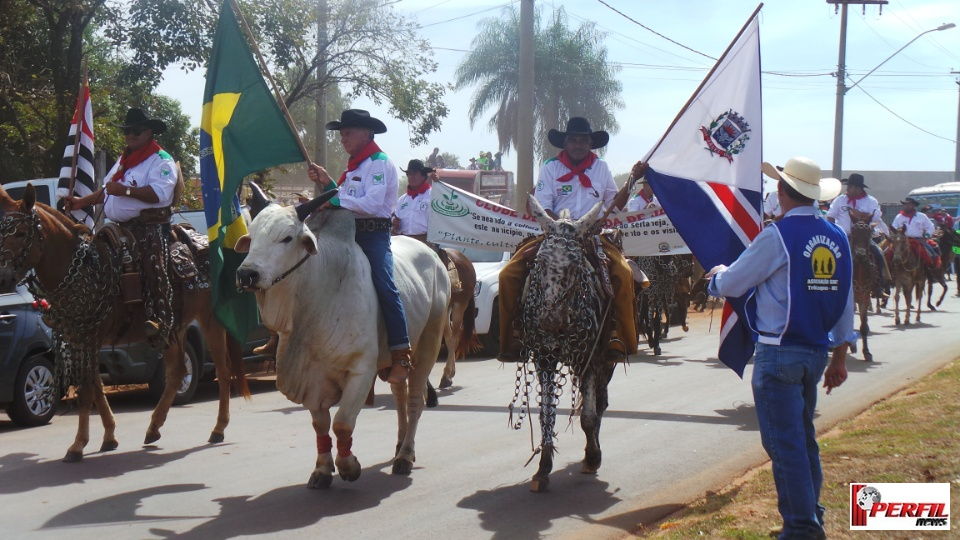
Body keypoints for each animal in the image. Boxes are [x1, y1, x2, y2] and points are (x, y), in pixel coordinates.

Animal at [0, 185, 248, 460]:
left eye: (22, 233)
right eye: (1, 233)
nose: (3, 278)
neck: (80, 270)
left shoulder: (89, 337)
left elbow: (86, 389)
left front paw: (78, 445)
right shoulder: (77, 338)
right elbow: (95, 386)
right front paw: (108, 436)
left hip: (210, 320)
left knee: (223, 370)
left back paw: (218, 429)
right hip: (173, 326)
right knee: (177, 372)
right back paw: (154, 428)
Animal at [238, 195, 452, 490]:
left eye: (287, 238)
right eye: (253, 235)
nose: (246, 274)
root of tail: (434, 257)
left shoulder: (361, 370)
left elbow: (341, 424)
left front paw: (349, 466)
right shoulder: (312, 378)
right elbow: (321, 426)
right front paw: (322, 470)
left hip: (428, 344)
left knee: (415, 400)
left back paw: (405, 455)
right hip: (397, 358)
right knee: (399, 394)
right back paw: (399, 444)